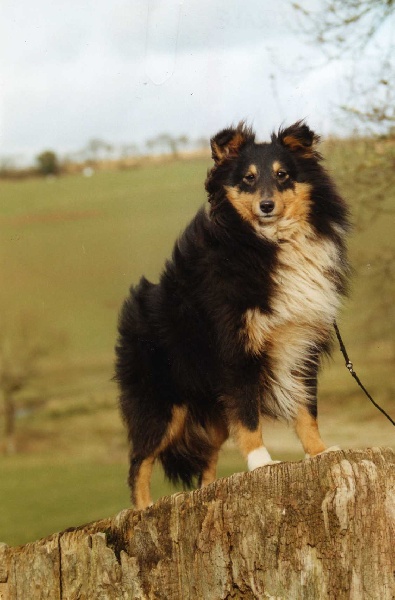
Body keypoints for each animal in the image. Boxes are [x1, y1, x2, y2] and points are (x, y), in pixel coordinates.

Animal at [114, 119, 350, 508]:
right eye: (248, 179)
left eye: (283, 175)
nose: (267, 206)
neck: (267, 242)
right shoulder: (236, 350)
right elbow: (250, 419)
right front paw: (262, 463)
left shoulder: (300, 344)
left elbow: (306, 408)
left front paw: (320, 451)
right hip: (162, 406)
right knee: (139, 462)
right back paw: (142, 508)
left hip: (212, 413)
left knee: (205, 463)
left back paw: (205, 492)